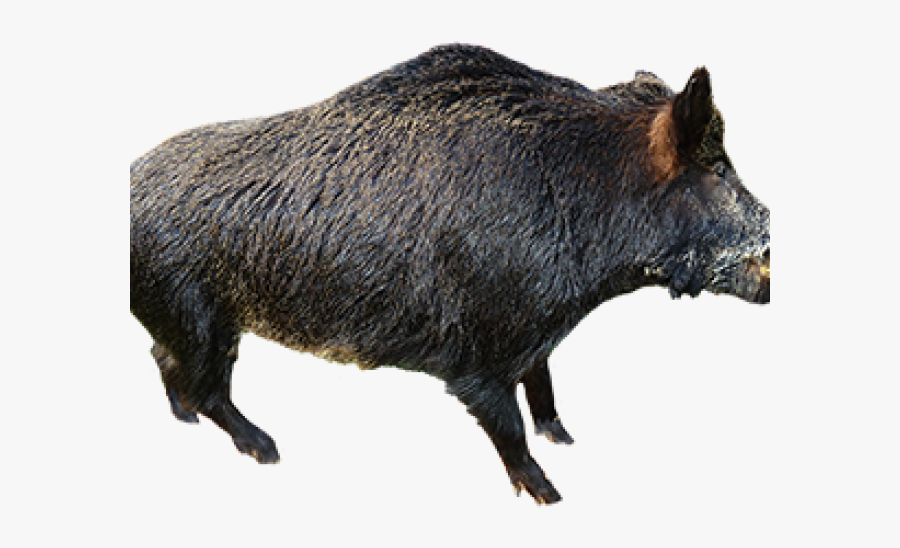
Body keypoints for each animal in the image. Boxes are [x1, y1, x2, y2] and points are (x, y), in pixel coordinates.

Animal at [130, 44, 770, 504]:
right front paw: (551, 496)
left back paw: (184, 421)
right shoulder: (479, 354)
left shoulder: (536, 332)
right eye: (717, 169)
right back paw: (267, 449)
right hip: (198, 313)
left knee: (168, 364)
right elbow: (507, 424)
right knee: (207, 385)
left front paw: (564, 437)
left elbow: (542, 383)